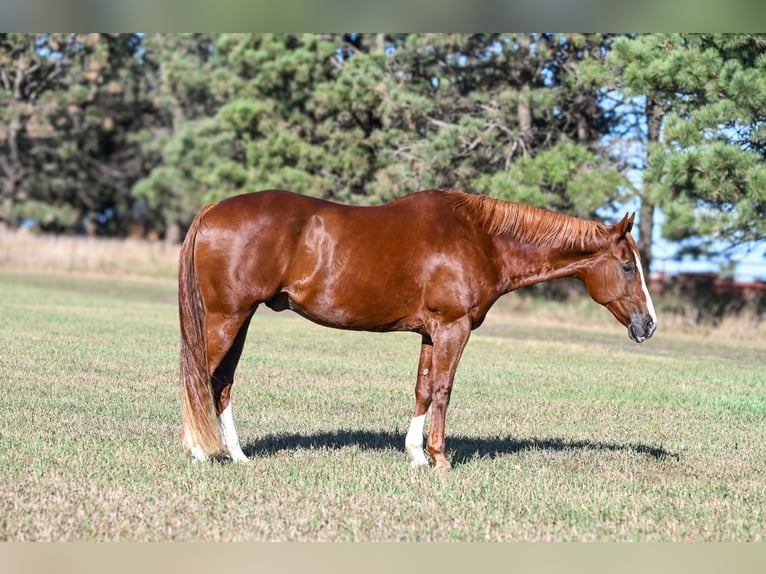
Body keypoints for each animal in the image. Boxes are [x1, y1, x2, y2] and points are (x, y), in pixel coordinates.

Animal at [178, 189, 657, 470]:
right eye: (628, 266)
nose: (648, 325)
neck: (480, 238)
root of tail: (212, 210)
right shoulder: (453, 328)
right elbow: (443, 388)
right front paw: (440, 459)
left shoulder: (430, 332)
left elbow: (423, 389)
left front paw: (416, 456)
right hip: (226, 318)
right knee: (200, 377)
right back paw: (200, 451)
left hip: (240, 318)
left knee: (220, 383)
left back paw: (236, 455)